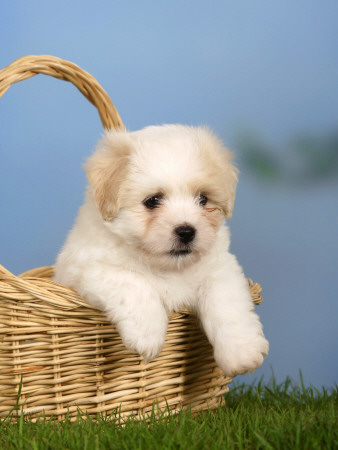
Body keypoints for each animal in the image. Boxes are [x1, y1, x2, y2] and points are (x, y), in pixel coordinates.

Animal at [53, 123, 270, 376]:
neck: (168, 267)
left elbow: (228, 304)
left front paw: (242, 353)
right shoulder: (88, 267)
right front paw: (147, 337)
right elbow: (133, 283)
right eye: (153, 200)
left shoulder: (220, 268)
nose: (186, 231)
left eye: (203, 199)